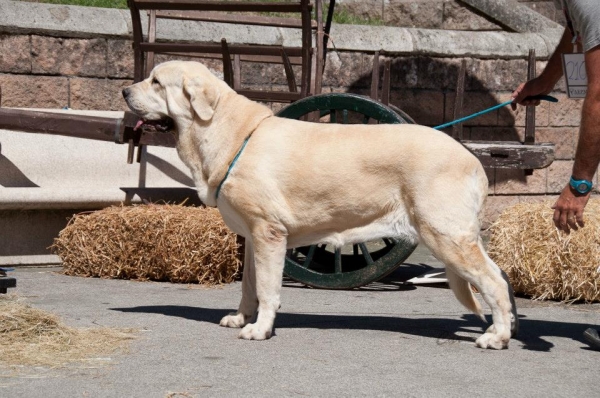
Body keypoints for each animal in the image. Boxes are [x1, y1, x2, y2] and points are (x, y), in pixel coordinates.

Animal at [124, 59, 516, 348]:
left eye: (156, 81)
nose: (124, 90)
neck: (225, 133)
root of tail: (473, 159)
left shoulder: (268, 234)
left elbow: (267, 289)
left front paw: (260, 329)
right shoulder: (252, 238)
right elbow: (249, 286)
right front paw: (240, 317)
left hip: (445, 236)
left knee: (494, 282)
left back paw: (497, 336)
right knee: (499, 276)